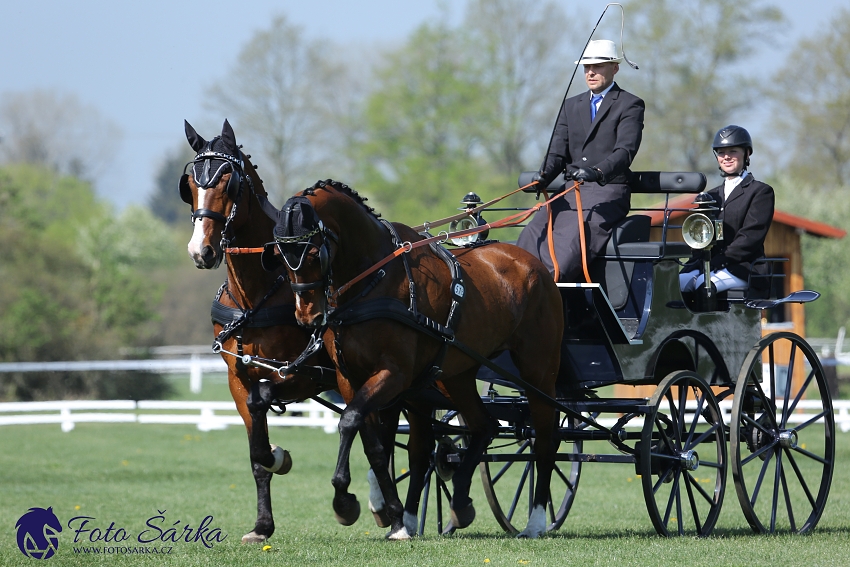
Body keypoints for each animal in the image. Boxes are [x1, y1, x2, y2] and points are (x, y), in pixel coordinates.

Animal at [260, 180, 564, 540]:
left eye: (313, 253)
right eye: (280, 257)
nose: (308, 317)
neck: (373, 281)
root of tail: (534, 265)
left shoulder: (394, 375)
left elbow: (350, 422)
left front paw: (345, 500)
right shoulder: (352, 379)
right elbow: (375, 444)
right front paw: (393, 516)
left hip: (538, 372)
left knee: (544, 439)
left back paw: (536, 520)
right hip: (456, 375)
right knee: (482, 426)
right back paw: (459, 503)